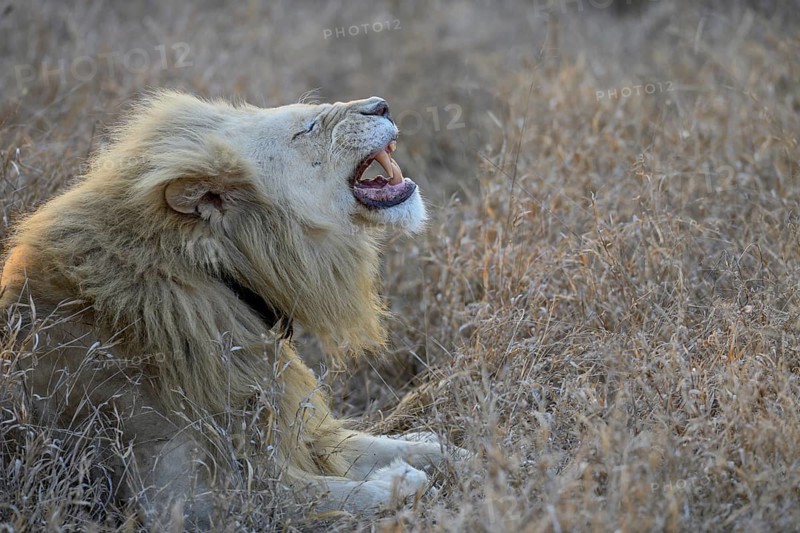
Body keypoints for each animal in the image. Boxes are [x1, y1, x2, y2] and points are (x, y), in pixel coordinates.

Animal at [0, 91, 463, 528]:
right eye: (308, 127)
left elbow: (373, 444)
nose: (381, 105)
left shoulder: (287, 428)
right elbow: (318, 494)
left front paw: (443, 447)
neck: (221, 282)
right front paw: (400, 480)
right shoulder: (181, 500)